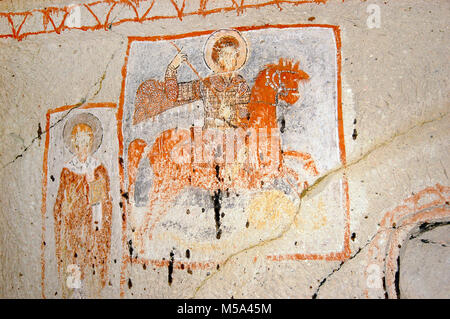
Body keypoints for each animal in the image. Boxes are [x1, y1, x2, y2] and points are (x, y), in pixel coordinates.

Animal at [126, 58, 318, 251]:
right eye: (285, 77)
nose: (295, 97)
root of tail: (152, 144)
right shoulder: (263, 174)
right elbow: (291, 173)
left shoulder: (276, 163)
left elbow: (300, 160)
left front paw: (311, 178)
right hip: (166, 187)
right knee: (146, 221)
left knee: (151, 222)